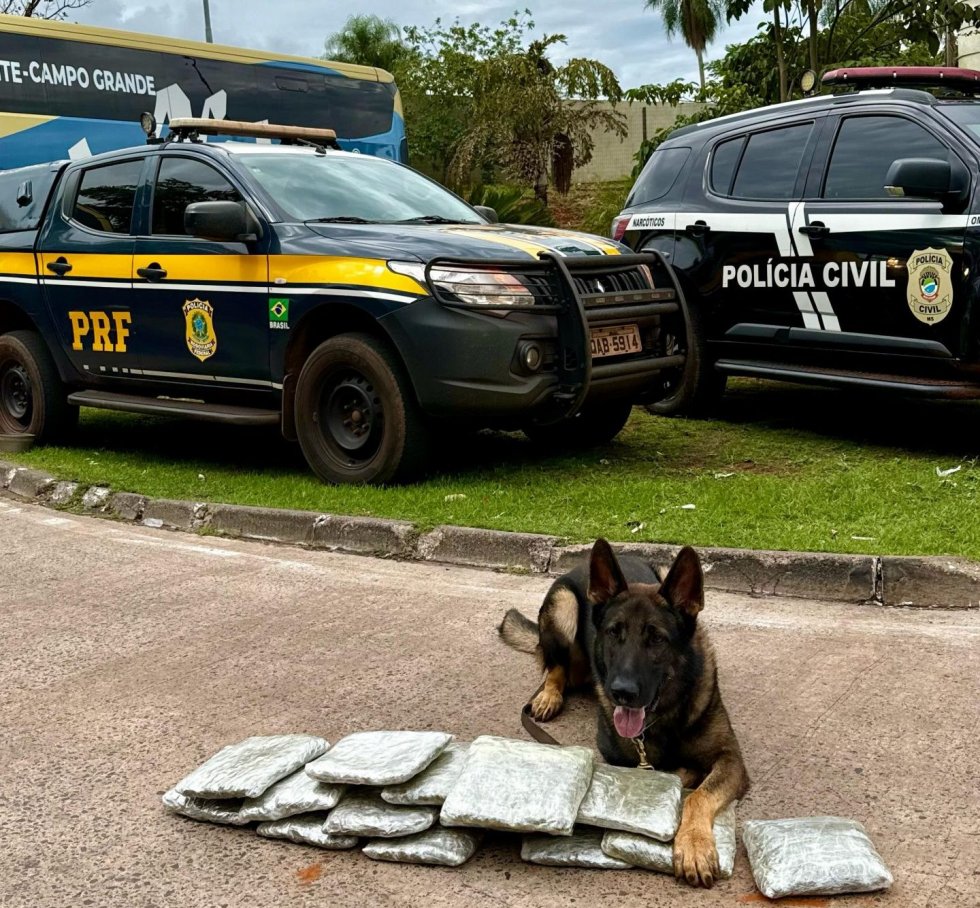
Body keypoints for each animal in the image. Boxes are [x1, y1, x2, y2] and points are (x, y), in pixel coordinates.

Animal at [498, 540, 752, 888]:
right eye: (612, 633)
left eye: (657, 638)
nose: (622, 691)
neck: (664, 718)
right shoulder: (618, 759)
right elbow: (674, 774)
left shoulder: (731, 759)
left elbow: (698, 796)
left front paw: (694, 845)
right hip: (564, 607)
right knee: (555, 666)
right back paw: (548, 695)